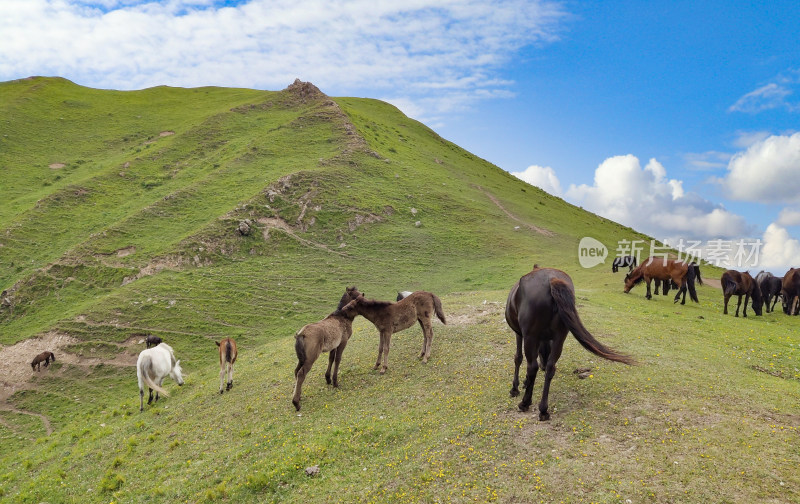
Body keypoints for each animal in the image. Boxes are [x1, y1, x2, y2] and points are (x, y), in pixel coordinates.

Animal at [510, 266, 636, 420]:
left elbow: (518, 358)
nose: (543, 366)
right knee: (551, 368)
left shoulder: (520, 334)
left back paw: (525, 403)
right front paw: (525, 383)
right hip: (560, 337)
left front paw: (515, 388)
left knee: (532, 366)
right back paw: (543, 409)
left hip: (531, 337)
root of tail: (552, 280)